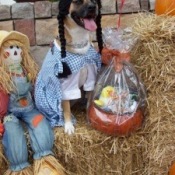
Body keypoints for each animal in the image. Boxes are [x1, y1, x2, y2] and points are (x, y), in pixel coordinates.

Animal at [34, 0, 102, 134]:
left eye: (94, 1)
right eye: (78, 1)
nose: (93, 7)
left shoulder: (91, 77)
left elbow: (89, 98)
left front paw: (88, 116)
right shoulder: (66, 84)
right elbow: (66, 108)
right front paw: (69, 125)